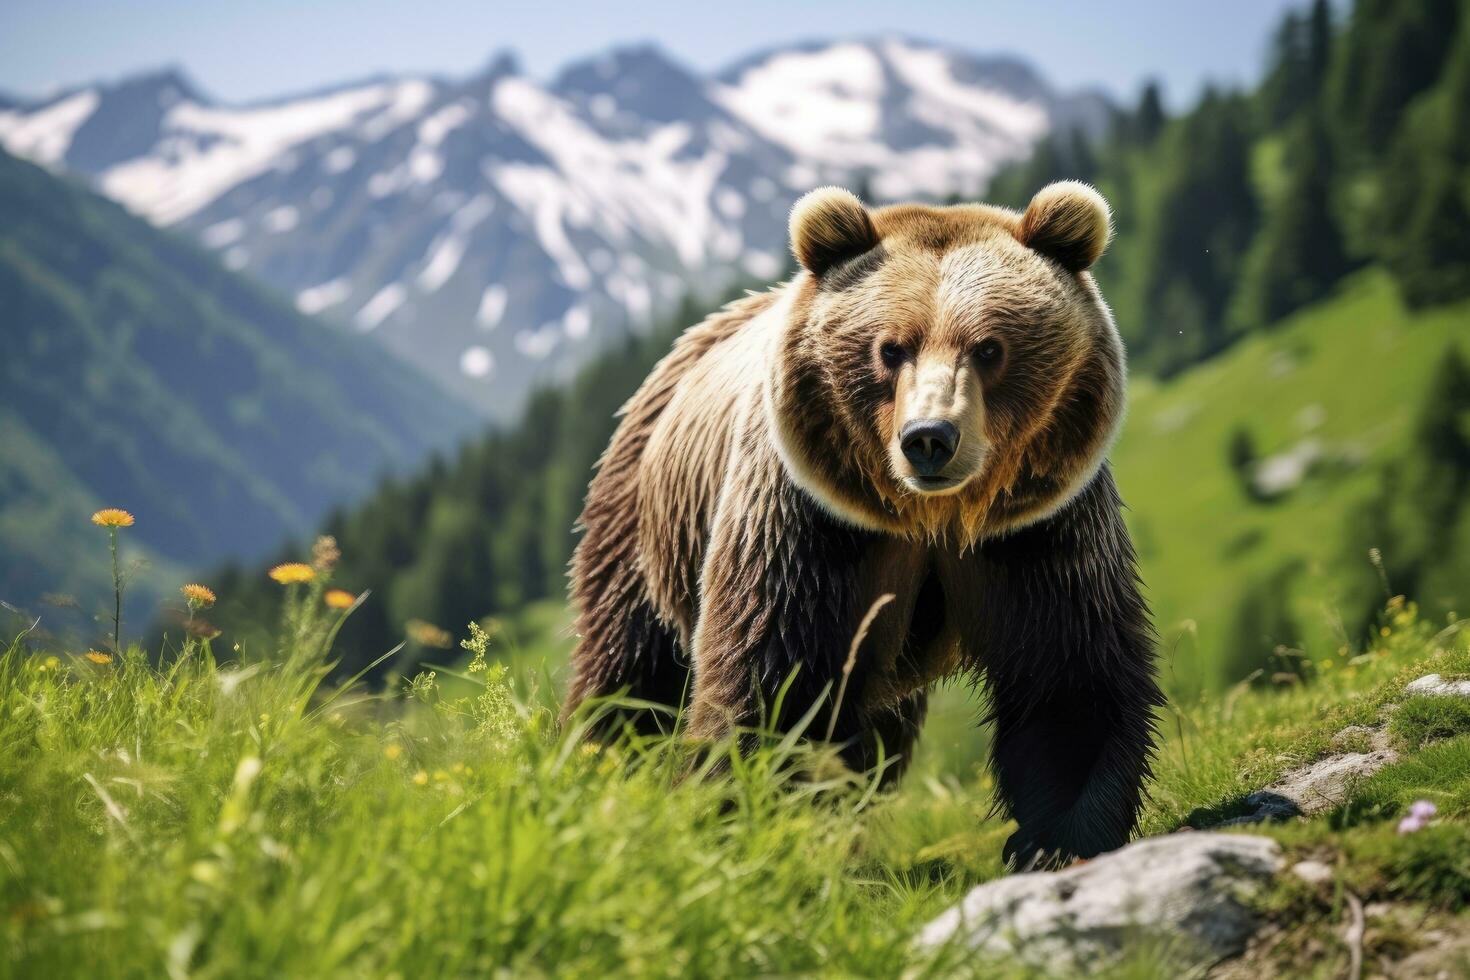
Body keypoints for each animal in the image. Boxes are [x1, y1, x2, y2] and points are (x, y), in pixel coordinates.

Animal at [561, 182, 1158, 863]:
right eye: (890, 348)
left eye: (989, 348)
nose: (930, 438)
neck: (933, 520)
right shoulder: (810, 527)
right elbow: (773, 681)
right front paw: (755, 826)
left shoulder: (1036, 530)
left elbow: (1068, 672)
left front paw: (1061, 840)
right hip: (644, 521)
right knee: (631, 671)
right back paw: (602, 777)